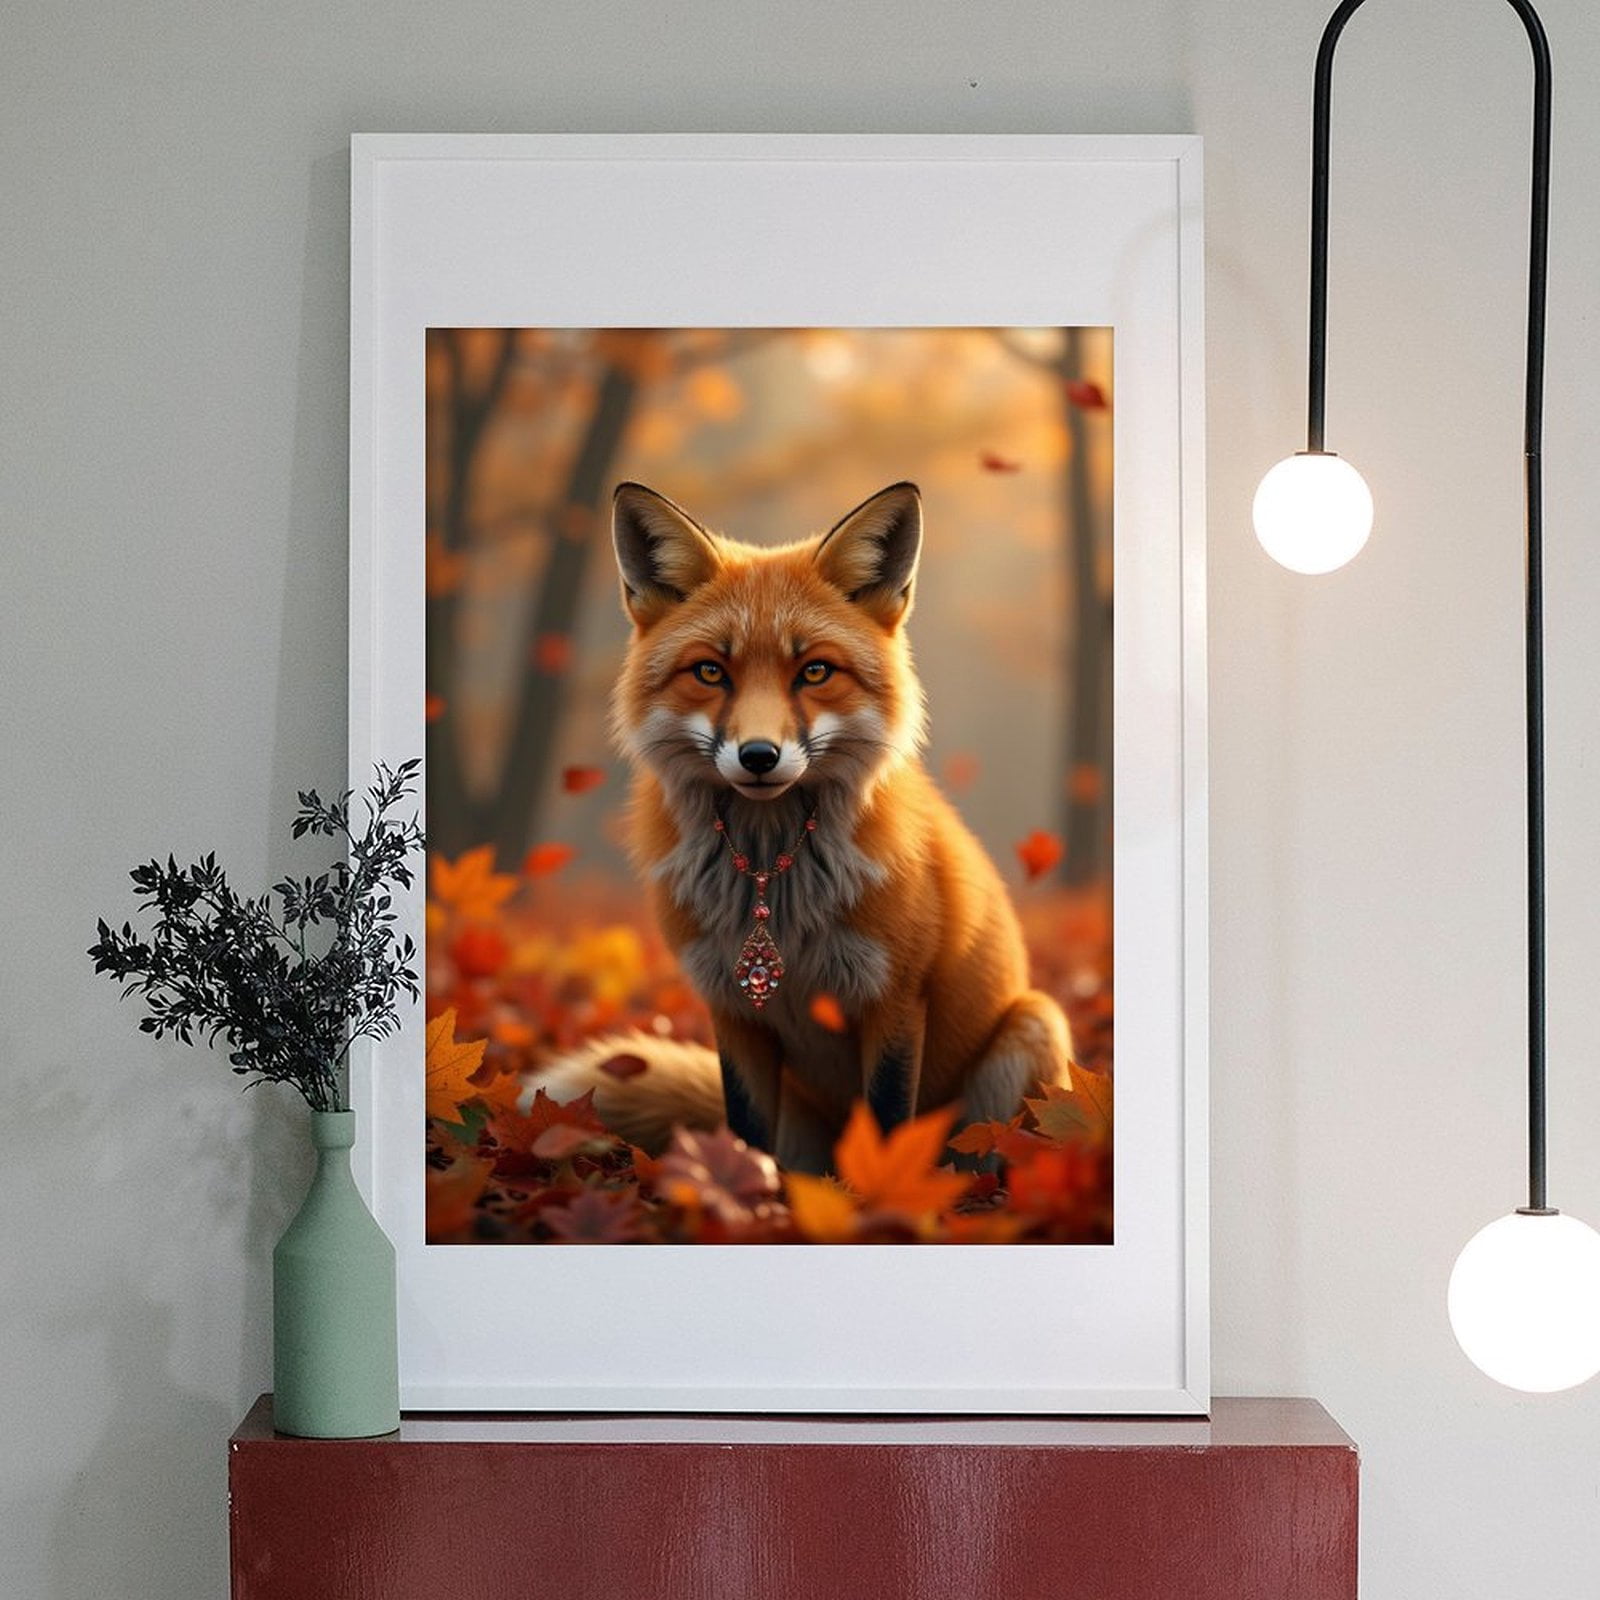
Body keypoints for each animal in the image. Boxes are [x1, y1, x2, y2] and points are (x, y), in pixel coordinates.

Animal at [530, 480, 1074, 1175]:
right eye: (711, 672)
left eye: (814, 671)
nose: (759, 756)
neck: (773, 885)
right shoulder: (733, 1008)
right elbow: (744, 1130)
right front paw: (740, 1190)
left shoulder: (894, 999)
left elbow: (888, 1125)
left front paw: (880, 1194)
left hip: (1029, 1036)